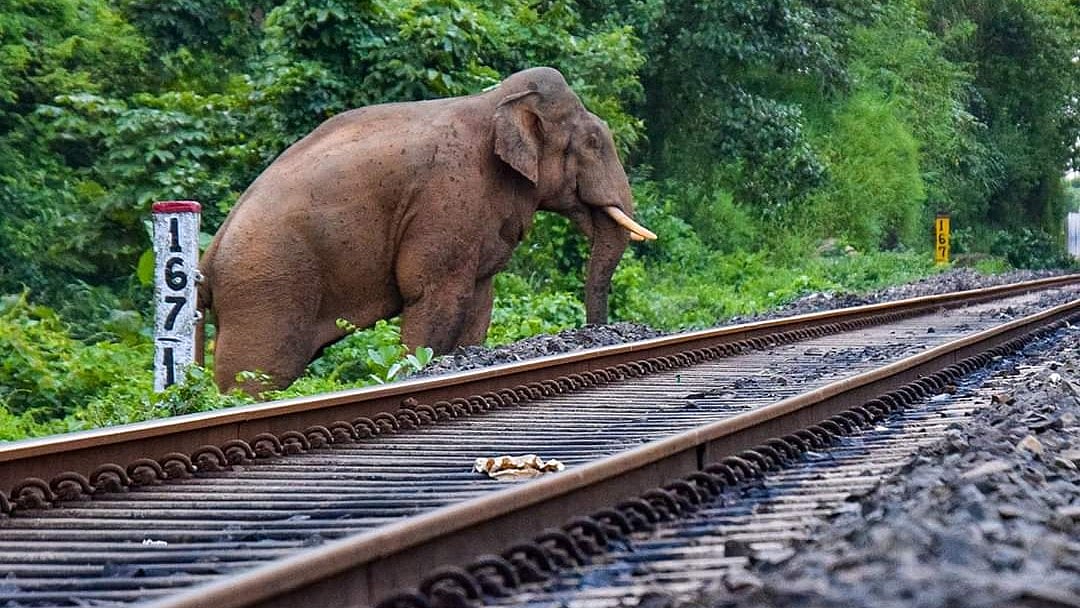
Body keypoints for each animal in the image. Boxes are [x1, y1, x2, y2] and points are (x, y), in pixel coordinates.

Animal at [200, 67, 656, 392]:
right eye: (594, 143)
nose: (600, 333)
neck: (494, 101)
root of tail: (210, 253)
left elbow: (479, 299)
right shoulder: (446, 199)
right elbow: (435, 295)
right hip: (267, 288)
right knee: (255, 375)